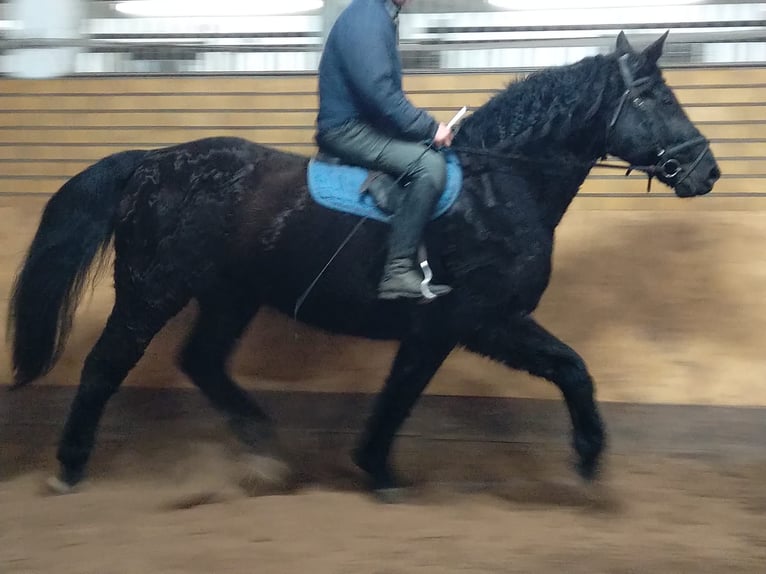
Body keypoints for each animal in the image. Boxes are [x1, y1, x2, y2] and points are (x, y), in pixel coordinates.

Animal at [7, 31, 720, 500]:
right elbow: (563, 369)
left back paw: (265, 452)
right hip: (151, 291)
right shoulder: (478, 320)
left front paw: (374, 466)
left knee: (202, 361)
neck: (497, 185)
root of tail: (152, 161)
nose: (707, 171)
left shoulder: (449, 327)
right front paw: (589, 459)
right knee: (105, 367)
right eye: (657, 97)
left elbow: (411, 390)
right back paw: (69, 468)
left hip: (229, 296)